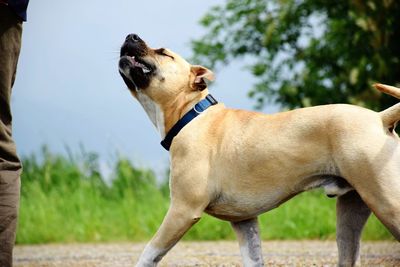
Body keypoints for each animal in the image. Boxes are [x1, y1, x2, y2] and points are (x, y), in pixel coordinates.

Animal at [118, 34, 400, 267]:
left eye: (163, 52)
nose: (130, 36)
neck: (191, 114)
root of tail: (379, 118)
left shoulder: (182, 210)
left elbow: (149, 253)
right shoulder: (245, 223)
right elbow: (253, 257)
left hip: (386, 203)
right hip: (351, 212)